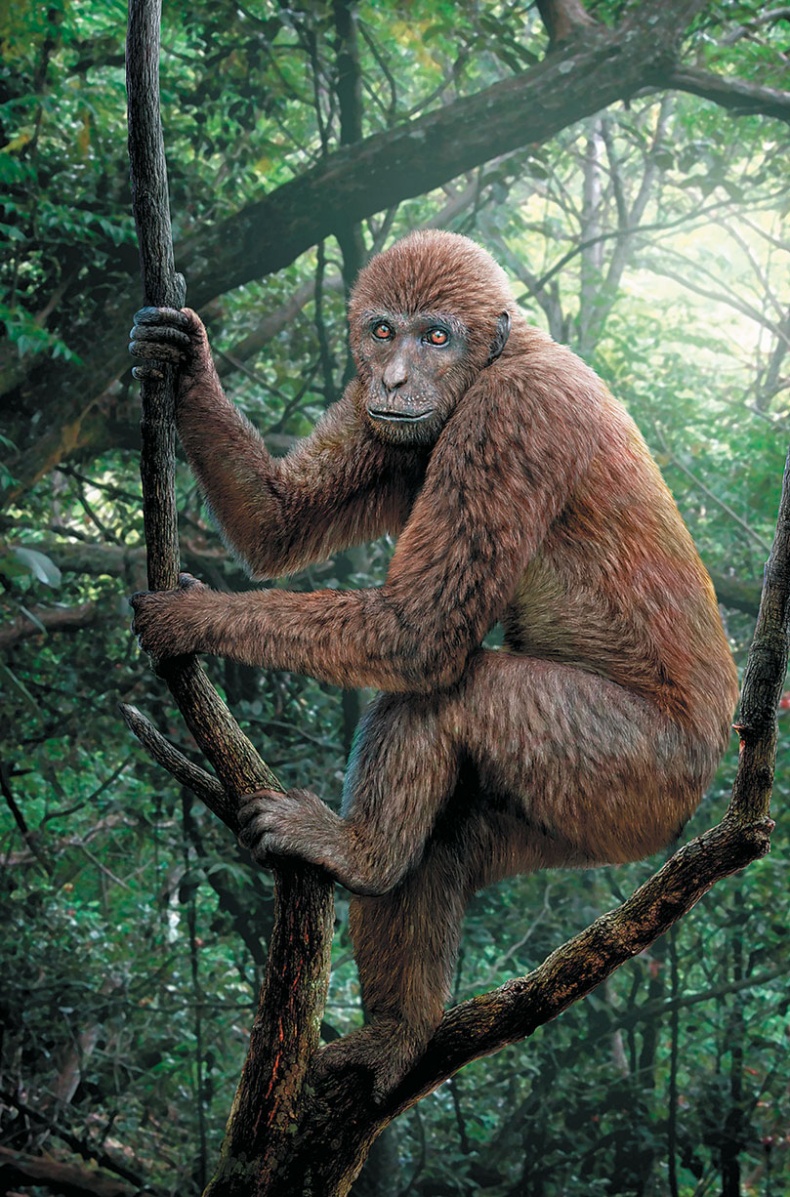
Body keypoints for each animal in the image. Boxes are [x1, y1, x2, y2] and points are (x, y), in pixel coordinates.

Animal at [129, 230, 738, 1097]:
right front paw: (184, 362)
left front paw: (194, 618)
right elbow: (280, 518)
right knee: (447, 838)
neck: (492, 363)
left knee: (452, 692)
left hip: (631, 768)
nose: (394, 377)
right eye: (384, 331)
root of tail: (693, 801)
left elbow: (420, 632)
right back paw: (399, 1032)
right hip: (590, 820)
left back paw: (362, 854)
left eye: (438, 337)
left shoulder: (512, 419)